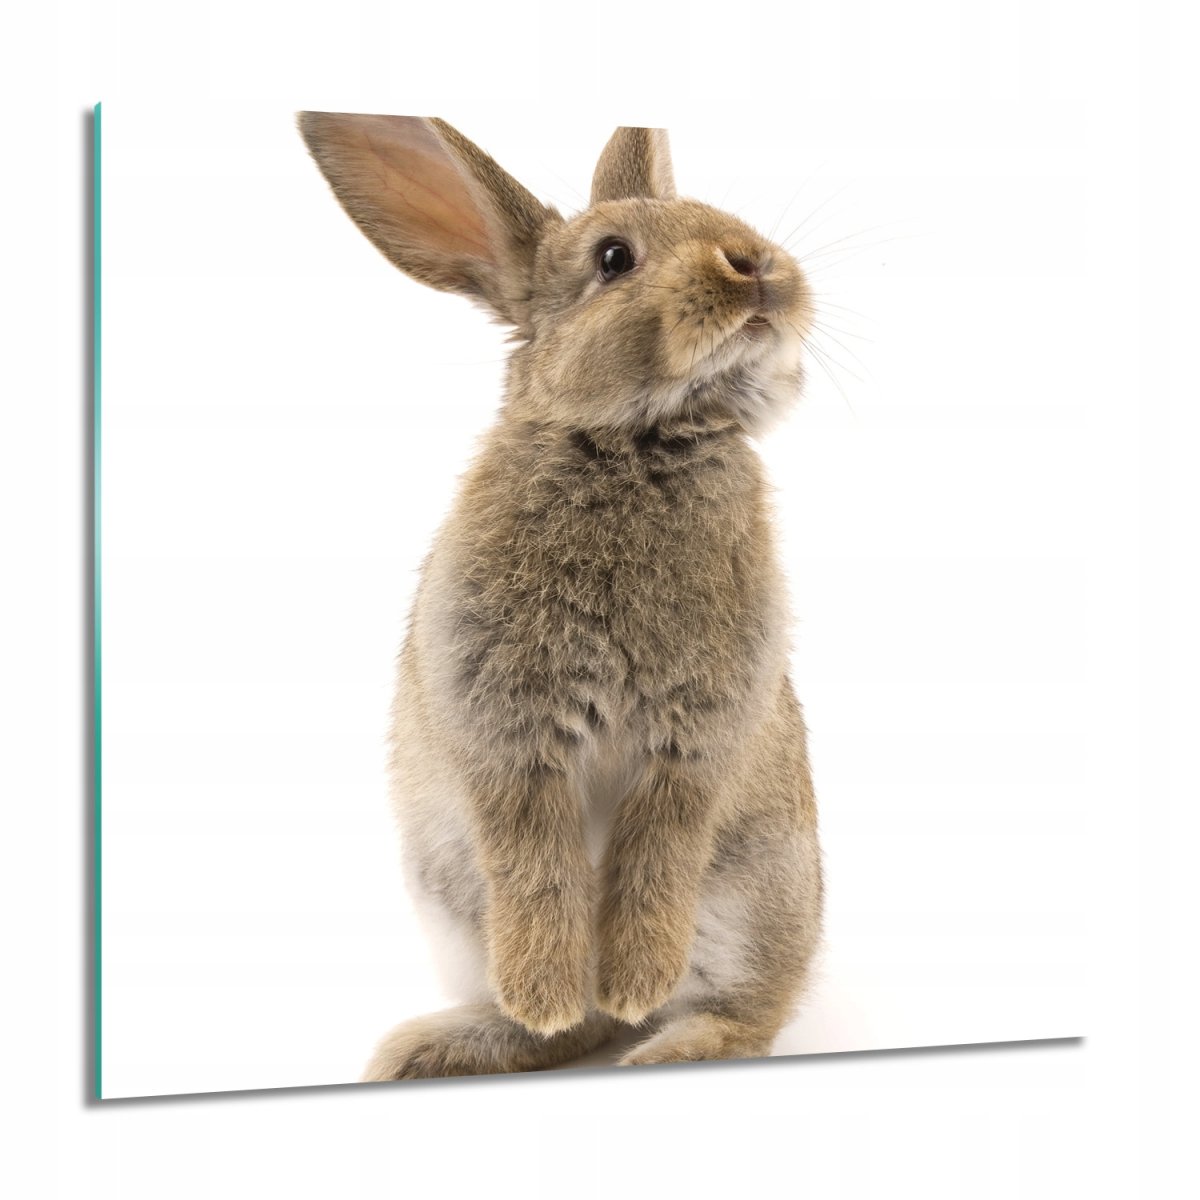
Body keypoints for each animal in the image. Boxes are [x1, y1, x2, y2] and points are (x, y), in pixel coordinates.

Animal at [298, 113, 824, 1078]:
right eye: (614, 258)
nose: (754, 263)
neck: (636, 442)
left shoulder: (699, 734)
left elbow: (659, 849)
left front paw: (636, 979)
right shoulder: (505, 730)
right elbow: (535, 863)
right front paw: (546, 988)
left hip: (758, 893)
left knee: (741, 1015)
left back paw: (655, 1041)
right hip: (450, 888)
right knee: (579, 1024)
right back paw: (457, 1041)